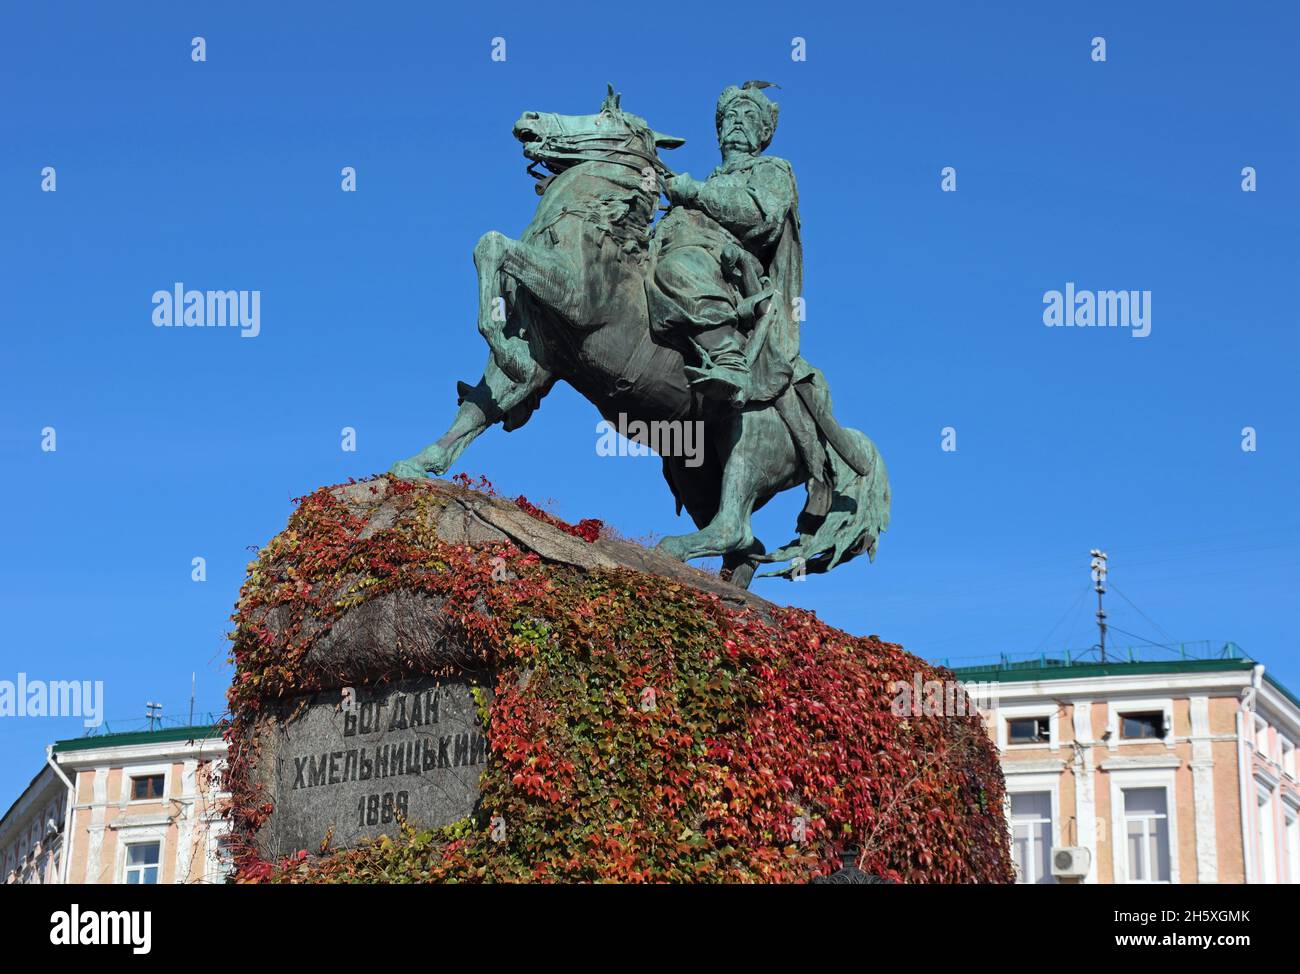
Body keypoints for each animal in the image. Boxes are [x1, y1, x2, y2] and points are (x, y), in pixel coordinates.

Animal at [390, 87, 889, 587]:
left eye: (605, 117)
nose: (529, 117)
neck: (591, 229)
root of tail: (820, 419)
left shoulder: (573, 296)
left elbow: (491, 244)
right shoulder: (542, 356)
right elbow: (479, 407)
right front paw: (419, 464)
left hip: (751, 443)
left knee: (735, 526)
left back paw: (680, 541)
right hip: (697, 473)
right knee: (749, 548)